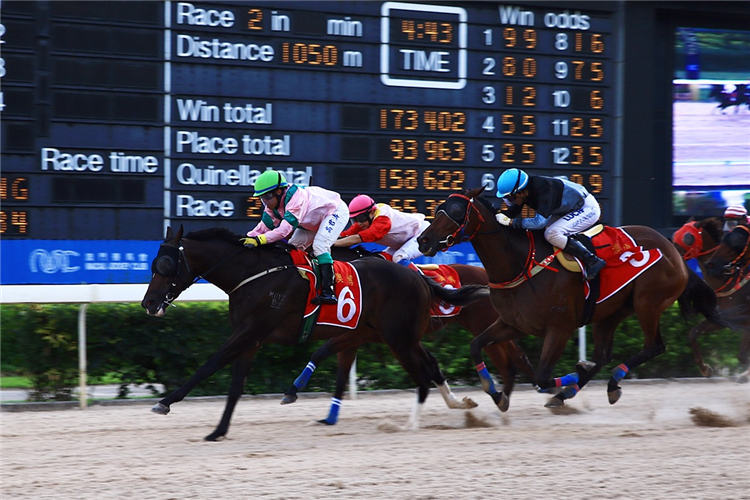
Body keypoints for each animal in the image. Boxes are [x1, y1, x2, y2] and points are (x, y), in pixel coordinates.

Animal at [142, 225, 490, 440]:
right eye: (154, 264)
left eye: (167, 265)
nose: (148, 303)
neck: (254, 275)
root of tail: (418, 278)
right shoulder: (251, 338)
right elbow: (236, 387)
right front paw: (218, 431)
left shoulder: (250, 331)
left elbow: (209, 365)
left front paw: (165, 402)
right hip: (391, 335)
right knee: (430, 366)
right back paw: (461, 405)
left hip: (399, 338)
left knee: (423, 377)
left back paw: (413, 425)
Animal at [284, 246, 540, 422]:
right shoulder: (377, 335)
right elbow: (432, 365)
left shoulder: (377, 334)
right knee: (510, 359)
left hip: (483, 323)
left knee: (514, 358)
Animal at [418, 188, 728, 410]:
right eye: (439, 207)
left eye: (457, 211)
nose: (424, 240)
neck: (521, 264)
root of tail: (675, 251)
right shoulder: (512, 324)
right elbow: (476, 346)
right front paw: (495, 393)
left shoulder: (560, 329)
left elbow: (542, 376)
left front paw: (569, 375)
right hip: (612, 311)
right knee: (603, 355)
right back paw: (583, 390)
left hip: (647, 303)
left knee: (654, 346)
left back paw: (599, 384)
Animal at [676, 217, 750, 376]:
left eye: (687, 238)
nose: (711, 265)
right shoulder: (723, 318)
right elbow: (693, 332)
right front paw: (705, 369)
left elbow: (742, 356)